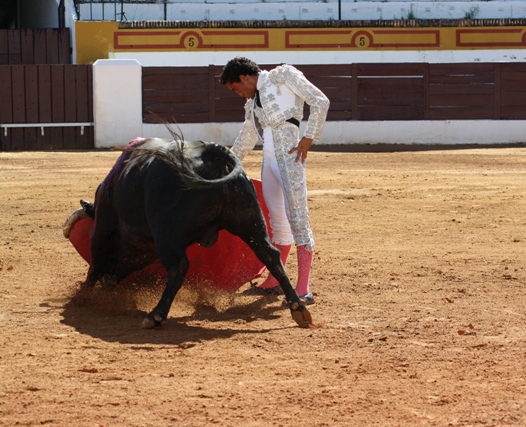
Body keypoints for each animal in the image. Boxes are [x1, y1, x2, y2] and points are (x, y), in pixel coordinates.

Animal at [71, 139, 312, 330]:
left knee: (179, 266)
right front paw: (104, 289)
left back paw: (155, 315)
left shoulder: (104, 228)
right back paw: (298, 308)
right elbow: (120, 268)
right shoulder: (144, 249)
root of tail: (210, 152)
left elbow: (97, 262)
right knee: (270, 254)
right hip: (250, 222)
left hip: (165, 234)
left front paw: (83, 296)